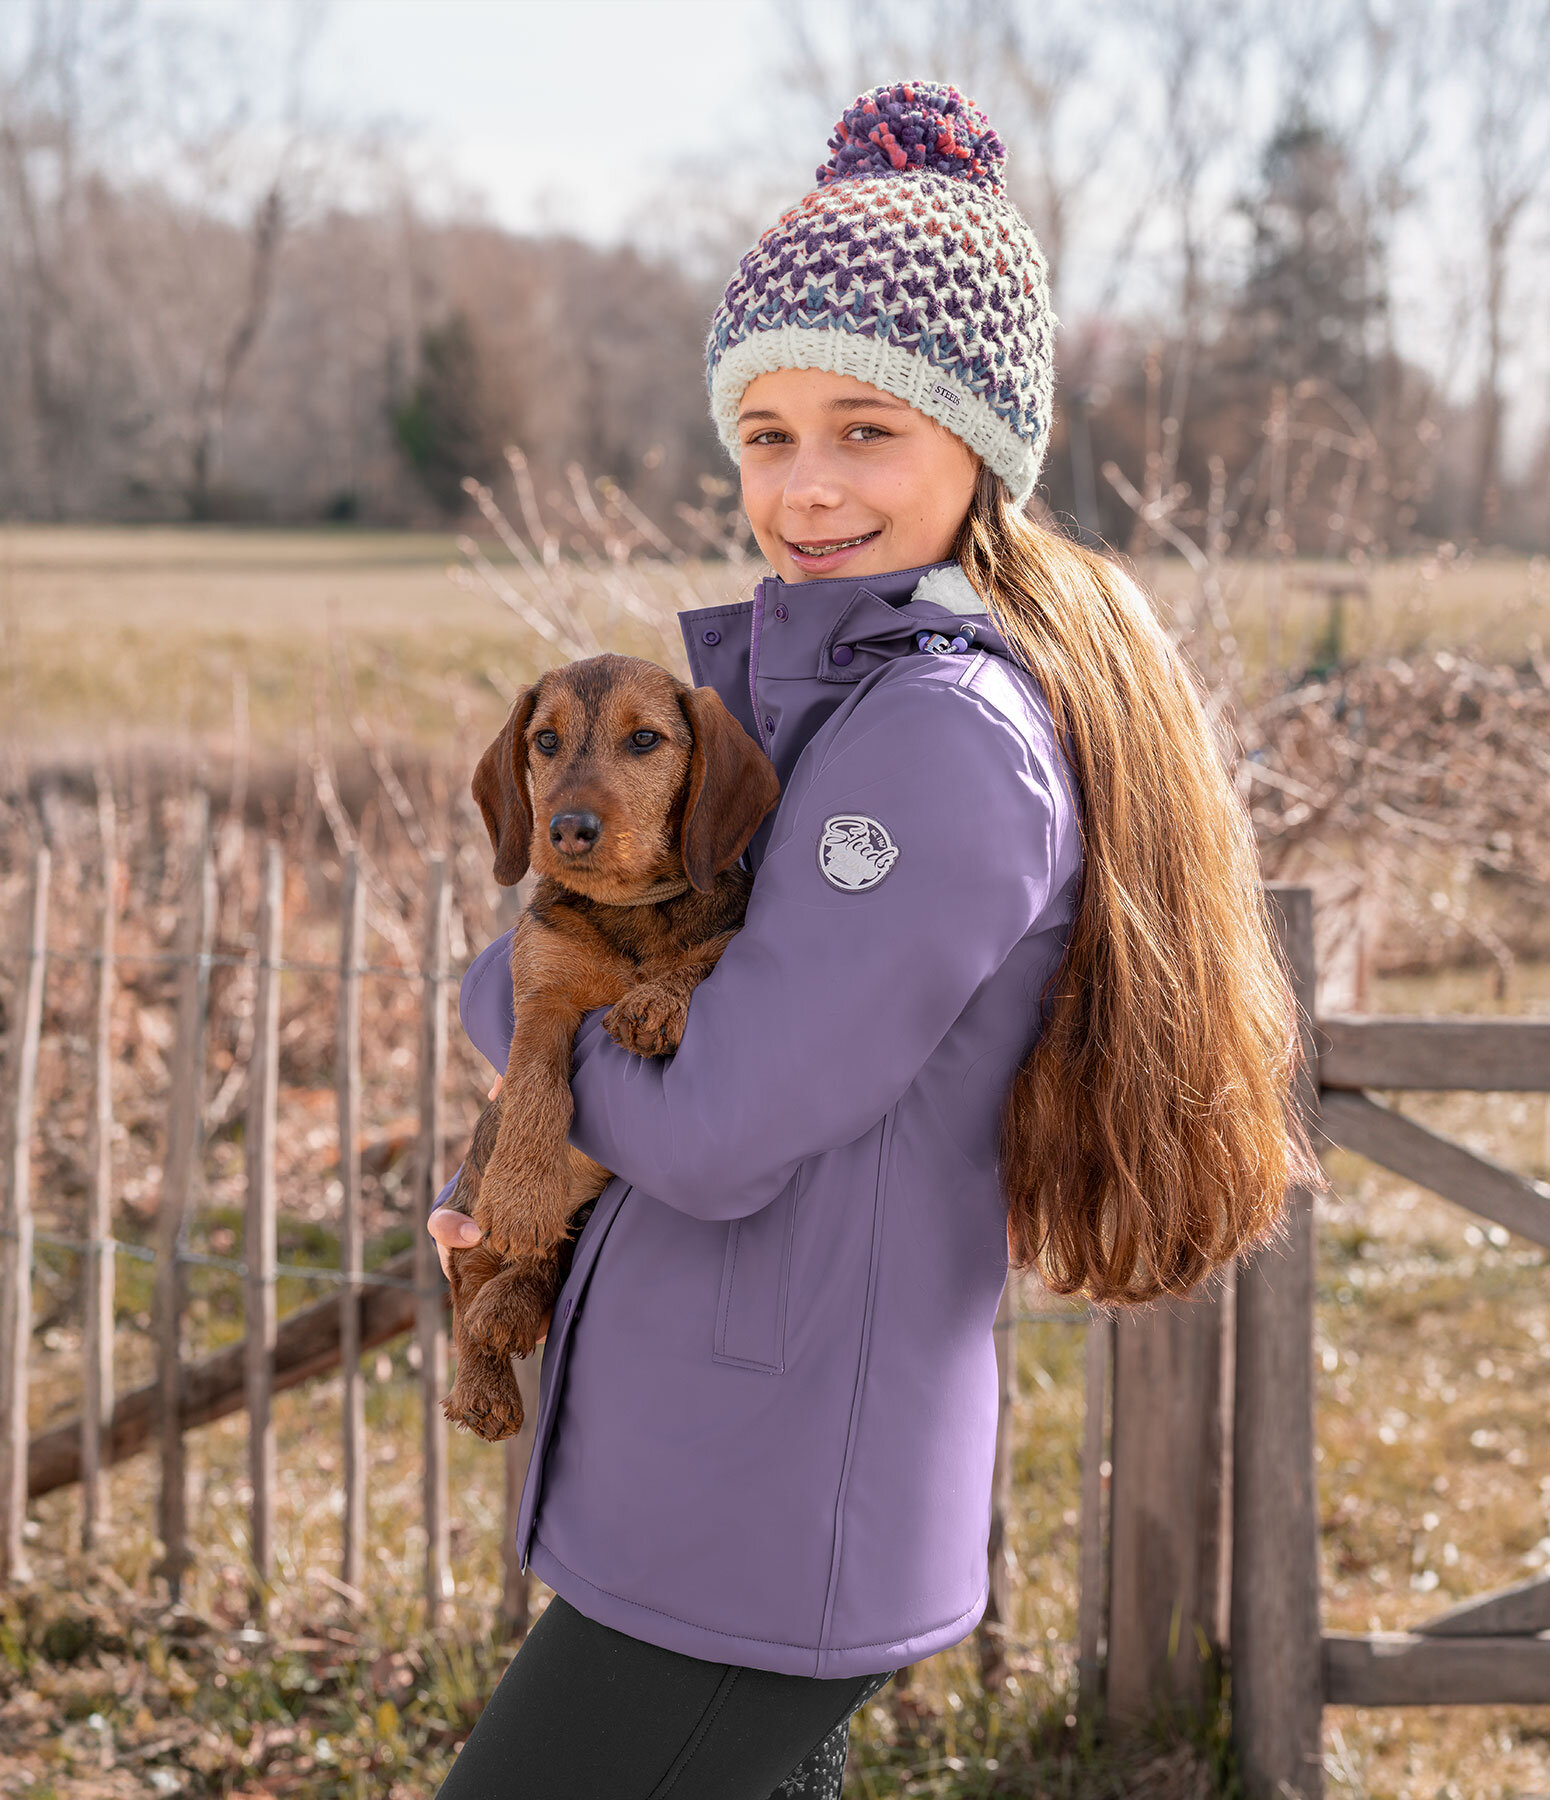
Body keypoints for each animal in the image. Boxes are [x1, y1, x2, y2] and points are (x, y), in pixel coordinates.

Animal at [439, 655, 781, 1440]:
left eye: (645, 739)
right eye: (546, 740)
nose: (568, 828)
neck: (631, 912)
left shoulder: (730, 933)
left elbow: (705, 954)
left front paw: (655, 1000)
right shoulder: (540, 990)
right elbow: (535, 1081)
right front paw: (524, 1192)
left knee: (546, 1258)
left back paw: (515, 1304)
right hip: (472, 1191)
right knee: (466, 1283)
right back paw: (484, 1377)